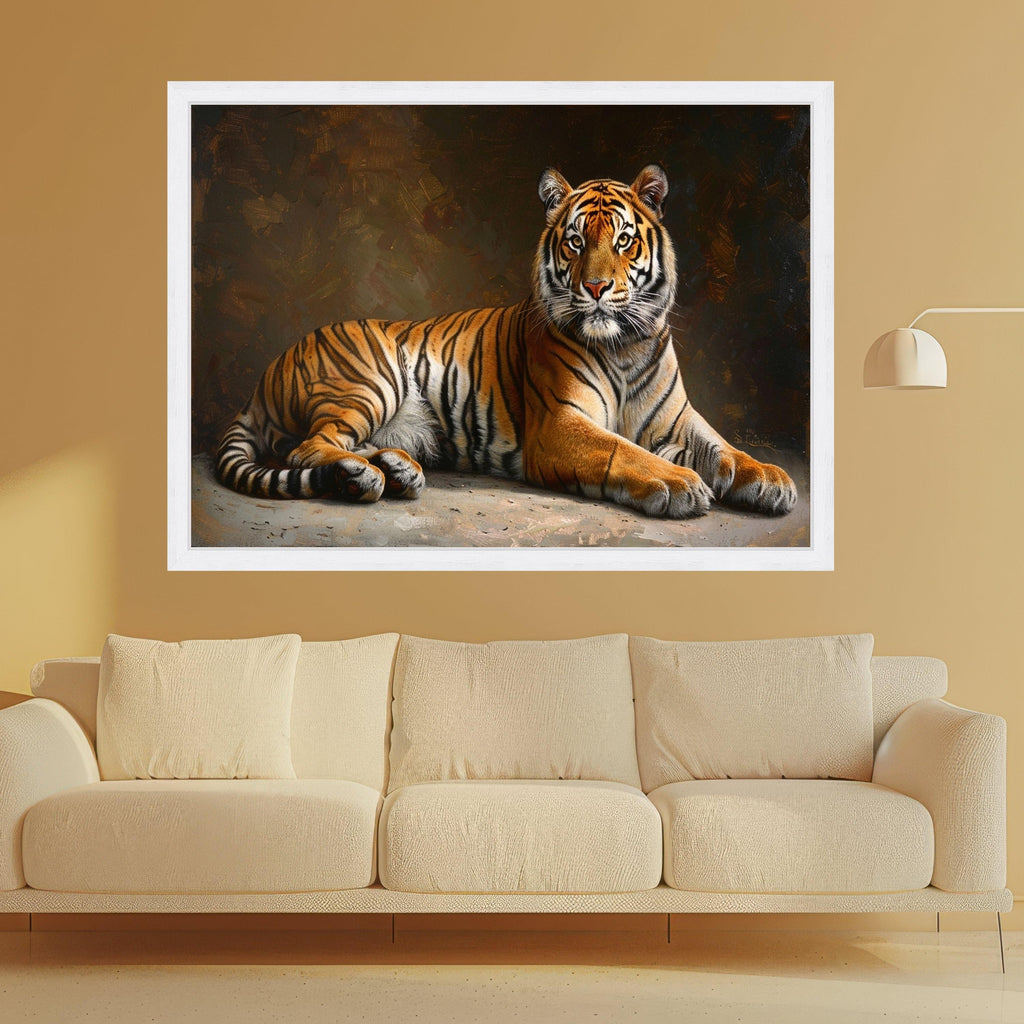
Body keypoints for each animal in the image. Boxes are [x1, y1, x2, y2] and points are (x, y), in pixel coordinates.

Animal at [215, 164, 798, 520]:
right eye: (576, 241)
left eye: (624, 240)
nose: (596, 287)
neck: (624, 347)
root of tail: (261, 380)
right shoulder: (559, 424)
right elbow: (622, 450)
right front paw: (680, 484)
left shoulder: (678, 419)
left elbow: (724, 447)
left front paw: (770, 479)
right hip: (368, 379)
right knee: (305, 447)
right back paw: (365, 476)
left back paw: (396, 470)